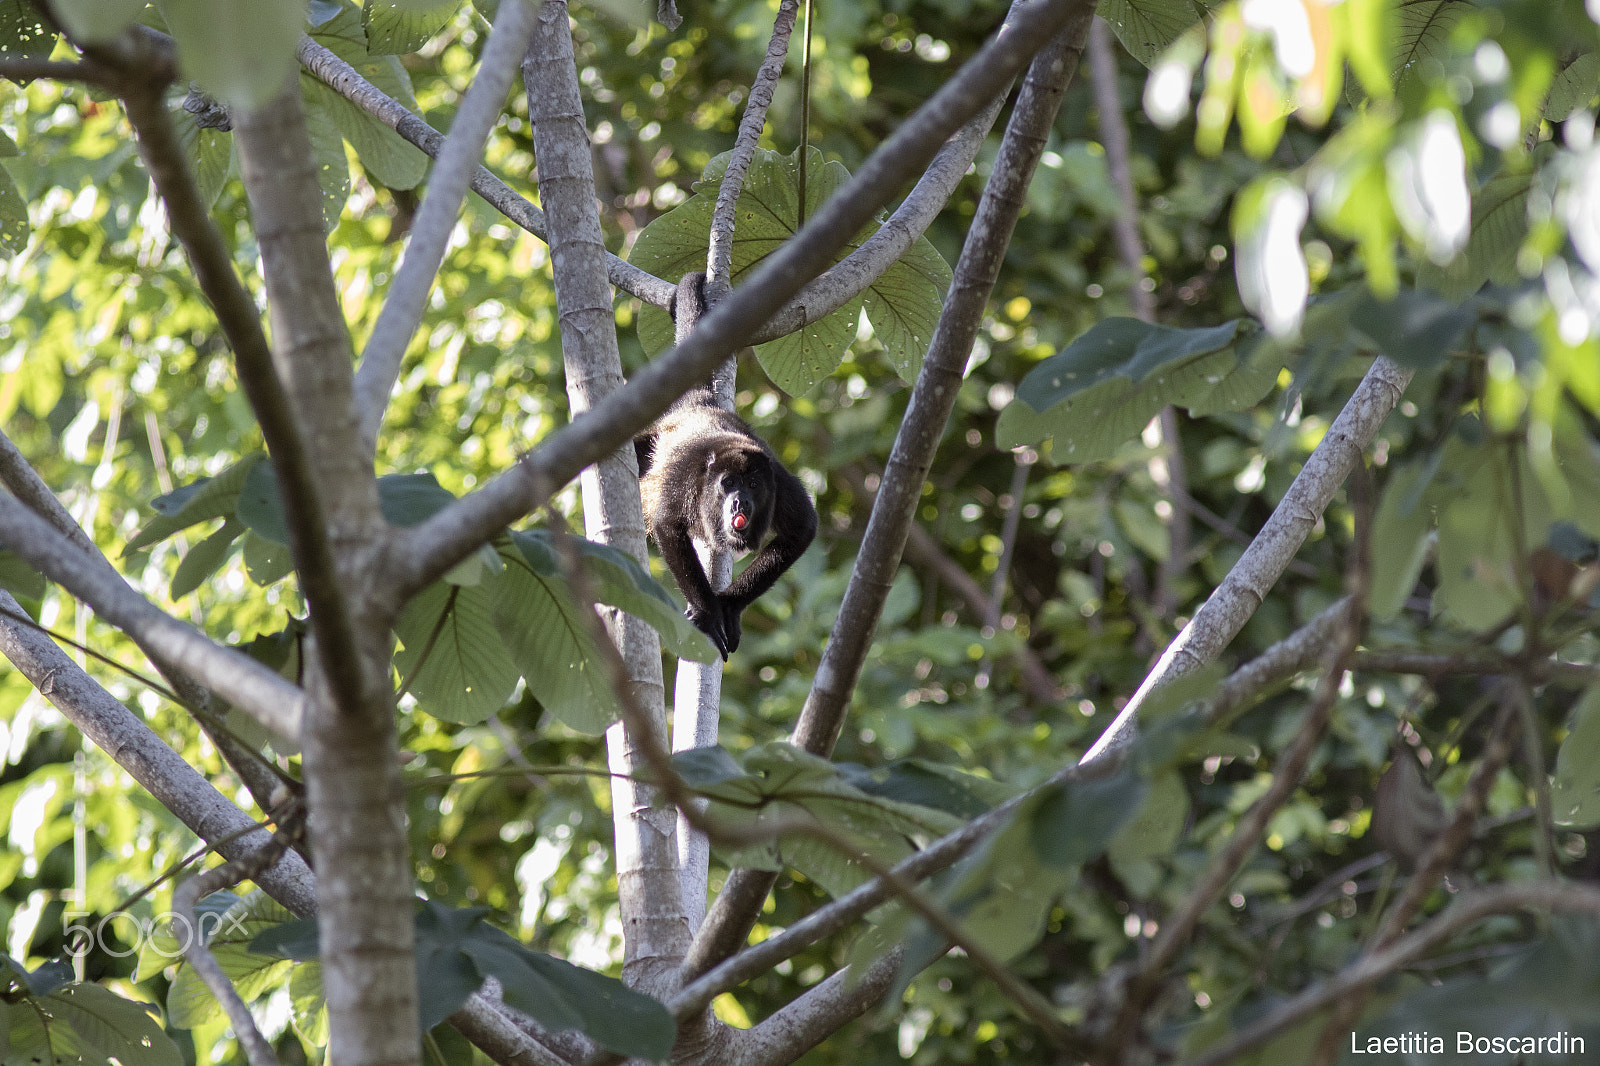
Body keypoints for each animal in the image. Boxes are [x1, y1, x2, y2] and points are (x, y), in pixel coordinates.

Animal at [635, 273, 818, 659]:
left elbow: (802, 528)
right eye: (729, 483)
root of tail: (699, 405)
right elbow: (668, 525)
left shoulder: (779, 482)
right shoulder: (687, 473)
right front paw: (707, 613)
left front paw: (730, 606)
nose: (739, 502)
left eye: (753, 485)